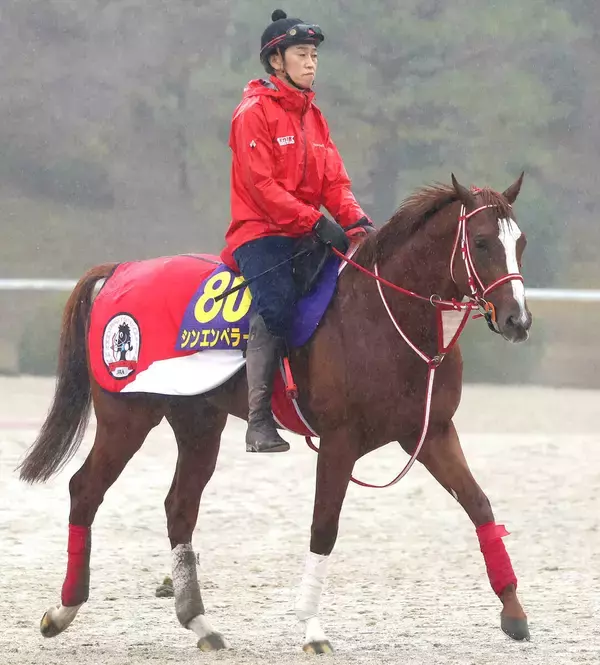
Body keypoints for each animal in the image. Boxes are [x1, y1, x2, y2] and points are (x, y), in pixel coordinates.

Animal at [18, 174, 532, 654]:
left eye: (520, 242)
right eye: (481, 242)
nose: (518, 320)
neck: (383, 316)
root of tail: (119, 271)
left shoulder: (431, 432)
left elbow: (479, 505)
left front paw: (514, 611)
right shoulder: (340, 442)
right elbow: (324, 527)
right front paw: (312, 628)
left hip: (198, 424)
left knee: (179, 507)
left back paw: (200, 623)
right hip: (126, 419)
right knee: (85, 490)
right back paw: (62, 611)